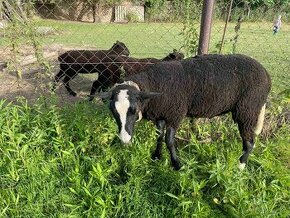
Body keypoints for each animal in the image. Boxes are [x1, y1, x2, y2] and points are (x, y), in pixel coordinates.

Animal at [93, 54, 272, 170]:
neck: (154, 85)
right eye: (113, 111)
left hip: (248, 109)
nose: (124, 140)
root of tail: (266, 73)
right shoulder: (160, 115)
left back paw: (240, 165)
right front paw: (156, 157)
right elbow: (159, 137)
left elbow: (169, 140)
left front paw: (177, 165)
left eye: (134, 110)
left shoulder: (175, 114)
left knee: (250, 141)